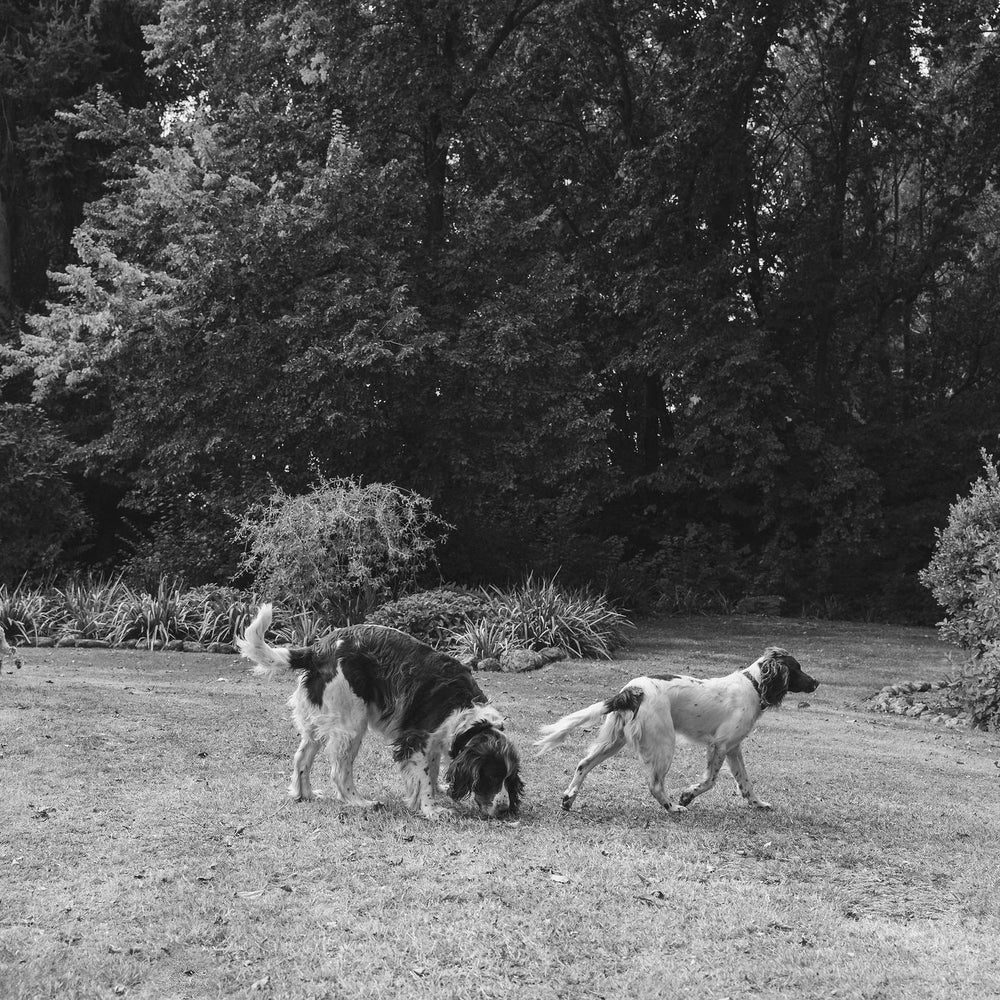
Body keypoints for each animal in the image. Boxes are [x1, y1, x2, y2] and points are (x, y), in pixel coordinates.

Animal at [238, 604, 524, 816]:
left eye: (506, 777)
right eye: (491, 776)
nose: (503, 810)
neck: (465, 712)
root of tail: (318, 649)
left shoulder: (432, 742)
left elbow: (431, 772)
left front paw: (435, 793)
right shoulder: (416, 739)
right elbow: (423, 777)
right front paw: (432, 809)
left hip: (317, 723)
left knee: (301, 759)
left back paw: (305, 795)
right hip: (351, 726)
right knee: (339, 772)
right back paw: (360, 802)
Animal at [536, 648, 816, 812]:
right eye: (797, 668)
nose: (816, 682)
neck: (754, 685)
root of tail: (631, 691)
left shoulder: (734, 748)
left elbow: (745, 782)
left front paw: (758, 803)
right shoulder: (720, 745)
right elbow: (710, 780)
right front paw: (687, 795)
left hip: (615, 740)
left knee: (583, 763)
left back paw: (568, 798)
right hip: (664, 744)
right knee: (654, 785)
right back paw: (672, 808)